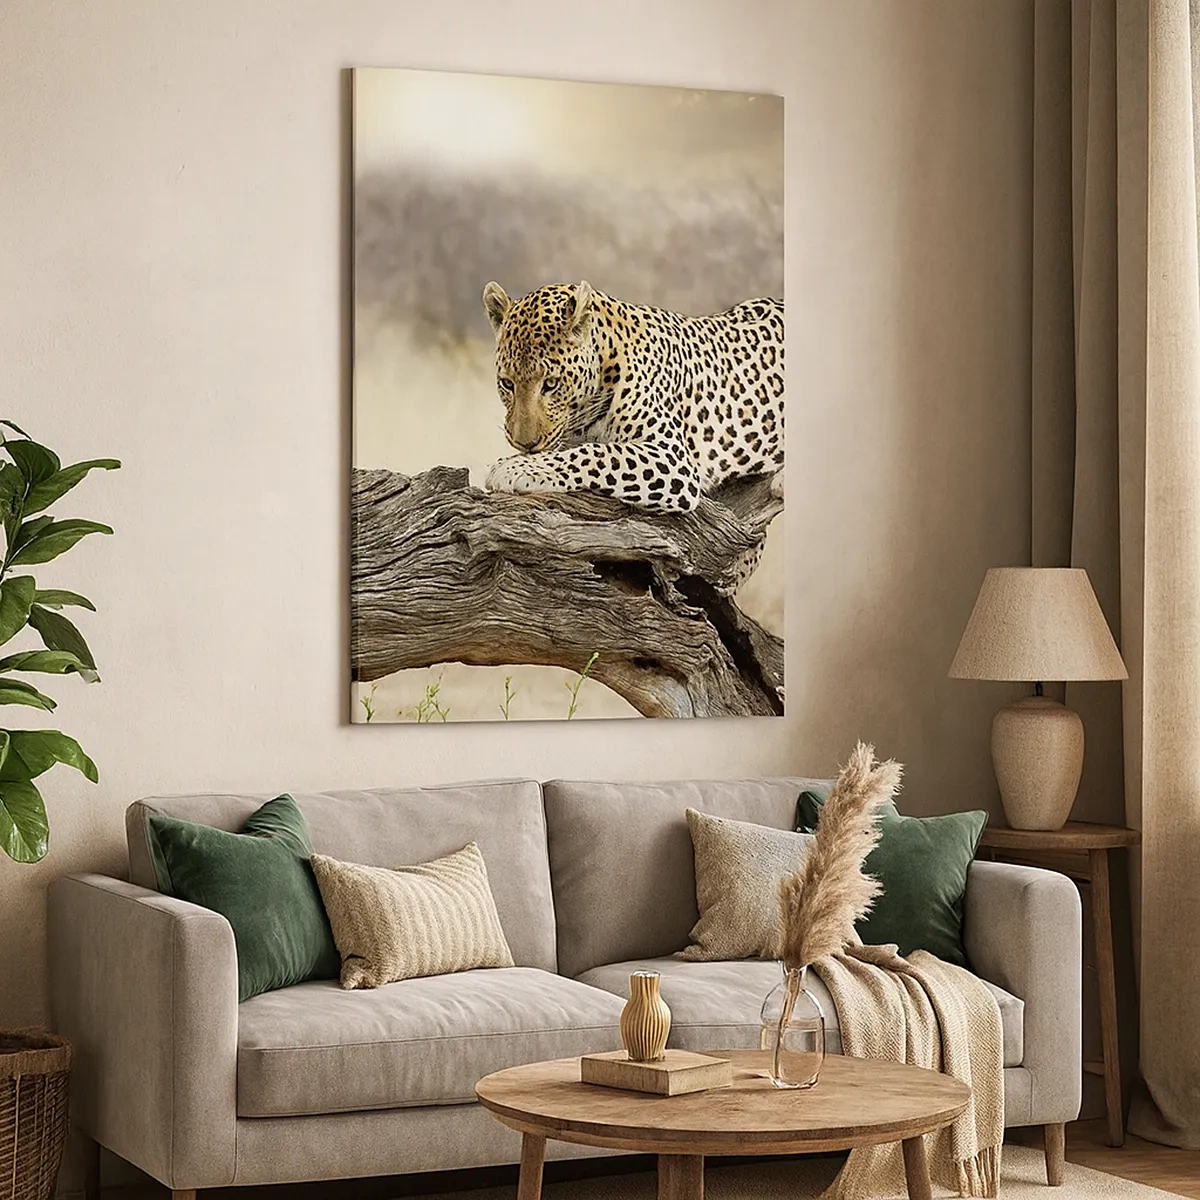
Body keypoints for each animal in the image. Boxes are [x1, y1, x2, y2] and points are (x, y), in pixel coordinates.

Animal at [481, 280, 784, 517]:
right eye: (507, 384)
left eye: (551, 384)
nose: (525, 443)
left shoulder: (673, 457)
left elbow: (599, 453)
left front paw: (513, 467)